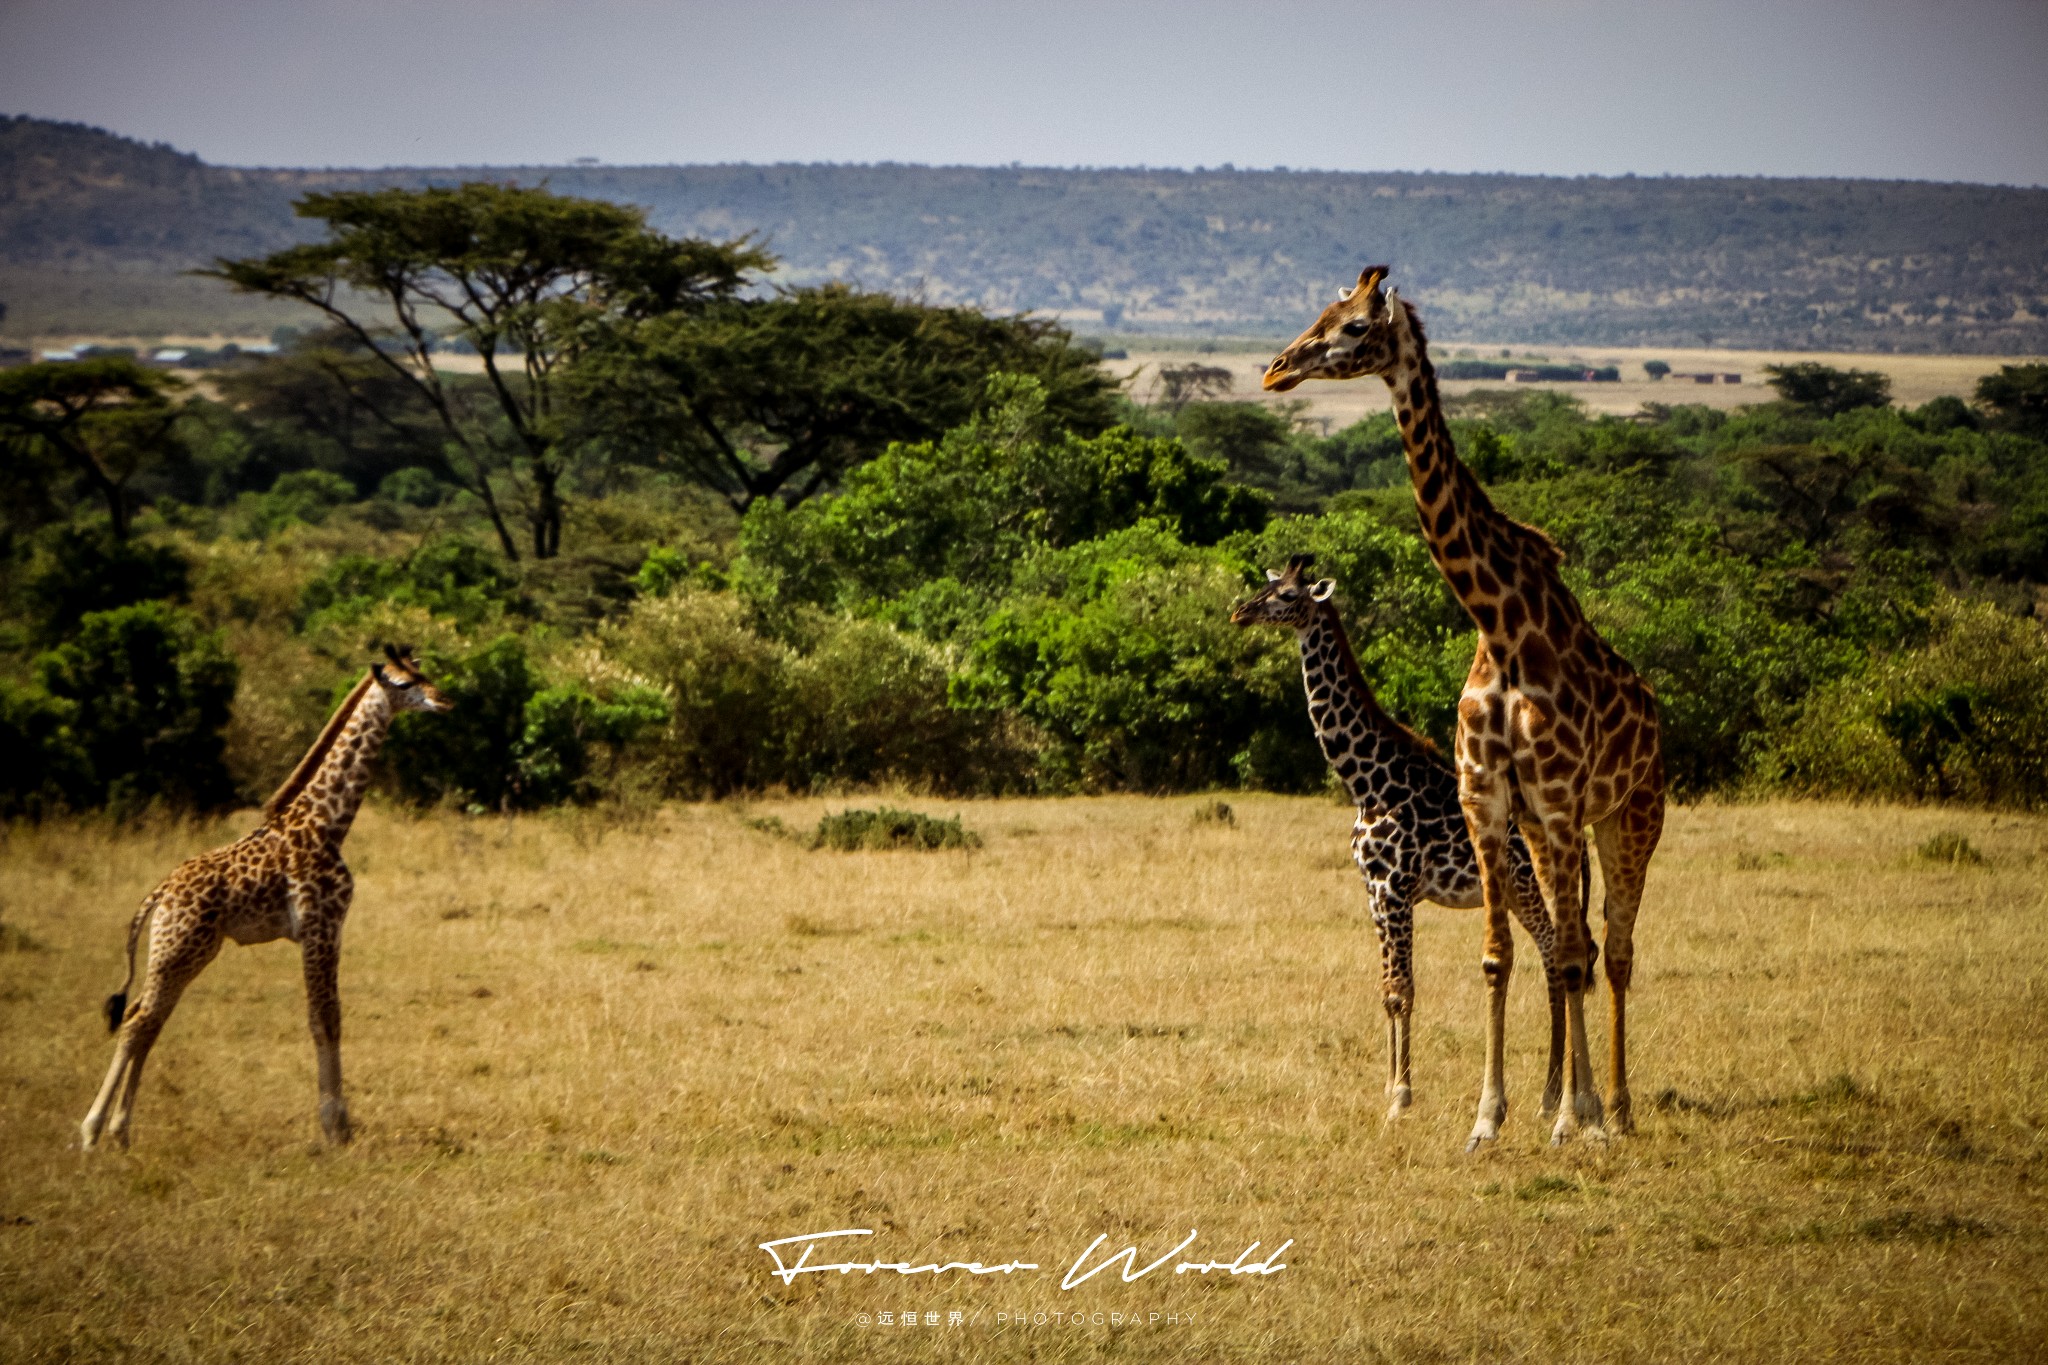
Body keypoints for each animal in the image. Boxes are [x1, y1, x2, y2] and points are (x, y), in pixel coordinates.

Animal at [82, 650, 448, 1154]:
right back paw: (91, 1131)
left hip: (186, 951)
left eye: (424, 673)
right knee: (140, 1021)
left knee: (145, 1017)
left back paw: (120, 1132)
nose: (443, 699)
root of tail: (160, 893)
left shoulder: (330, 930)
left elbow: (330, 1017)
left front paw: (340, 1123)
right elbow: (323, 1018)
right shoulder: (318, 926)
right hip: (180, 948)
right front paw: (336, 1126)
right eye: (404, 682)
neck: (327, 823)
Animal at [1228, 556, 1564, 1121]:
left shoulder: (1396, 889)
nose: (1241, 612)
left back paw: (1551, 1097)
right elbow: (1387, 989)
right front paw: (1389, 1088)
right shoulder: (1373, 892)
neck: (1367, 783)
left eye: (1290, 595)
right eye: (1267, 584)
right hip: (1520, 890)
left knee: (1559, 954)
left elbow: (1403, 989)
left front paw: (1402, 1097)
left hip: (1532, 882)